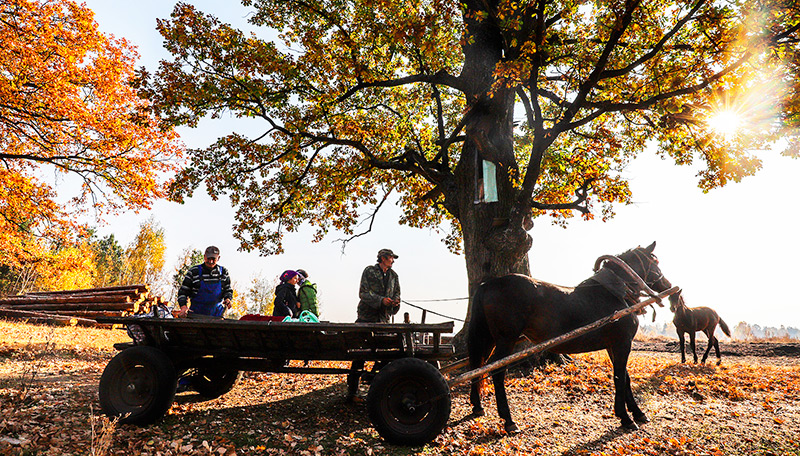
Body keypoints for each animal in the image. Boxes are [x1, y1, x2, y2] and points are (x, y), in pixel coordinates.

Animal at [466, 240, 672, 432]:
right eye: (655, 261)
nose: (667, 284)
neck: (615, 293)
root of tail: (488, 284)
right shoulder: (622, 343)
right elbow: (619, 377)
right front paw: (625, 418)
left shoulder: (613, 345)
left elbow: (625, 377)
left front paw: (637, 413)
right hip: (505, 340)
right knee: (496, 371)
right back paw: (509, 421)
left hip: (489, 339)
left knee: (477, 365)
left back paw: (478, 406)